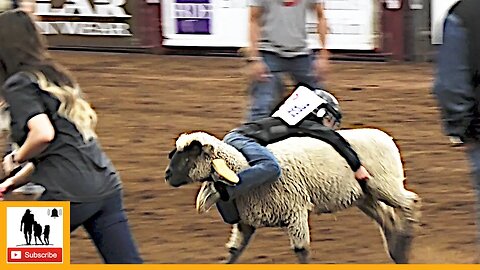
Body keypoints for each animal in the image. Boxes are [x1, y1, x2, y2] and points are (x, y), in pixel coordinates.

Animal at [165, 129, 420, 264]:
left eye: (190, 155)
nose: (167, 175)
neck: (244, 169)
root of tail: (384, 136)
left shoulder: (295, 212)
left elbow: (302, 252)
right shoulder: (246, 223)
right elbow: (233, 254)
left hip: (386, 184)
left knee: (411, 203)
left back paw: (406, 241)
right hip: (364, 196)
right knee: (388, 219)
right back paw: (397, 252)